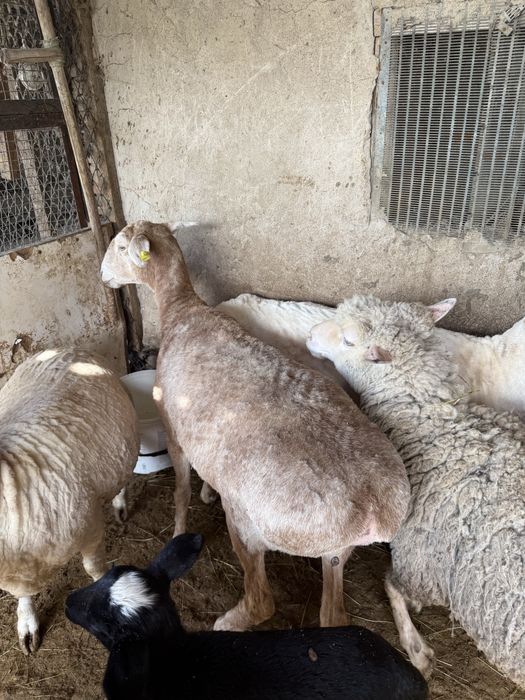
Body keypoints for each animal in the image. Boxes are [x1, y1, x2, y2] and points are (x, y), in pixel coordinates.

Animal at [0, 348, 139, 653]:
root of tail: (68, 350)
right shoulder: (17, 571)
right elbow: (24, 593)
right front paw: (27, 623)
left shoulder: (91, 529)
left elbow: (95, 570)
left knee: (125, 476)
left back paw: (120, 506)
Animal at [100, 221, 410, 631]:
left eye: (120, 247)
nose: (103, 275)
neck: (182, 309)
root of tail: (376, 510)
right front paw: (207, 493)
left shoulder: (174, 430)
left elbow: (180, 491)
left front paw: (178, 531)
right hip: (336, 551)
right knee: (332, 615)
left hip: (250, 525)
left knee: (263, 602)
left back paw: (225, 623)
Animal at [306, 295, 525, 688]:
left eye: (348, 340)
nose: (310, 335)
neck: (435, 433)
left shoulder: (422, 559)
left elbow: (392, 585)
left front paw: (417, 650)